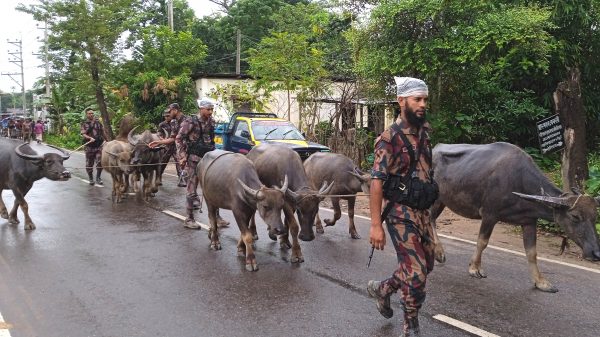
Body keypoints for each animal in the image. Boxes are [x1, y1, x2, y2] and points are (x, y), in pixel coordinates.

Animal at [432, 142, 600, 292]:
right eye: (575, 216)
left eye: (595, 217)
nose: (596, 253)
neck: (519, 181)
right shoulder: (489, 215)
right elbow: (482, 242)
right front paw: (475, 268)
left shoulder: (529, 222)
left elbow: (532, 253)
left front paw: (541, 282)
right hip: (434, 199)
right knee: (430, 221)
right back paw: (439, 253)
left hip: (442, 201)